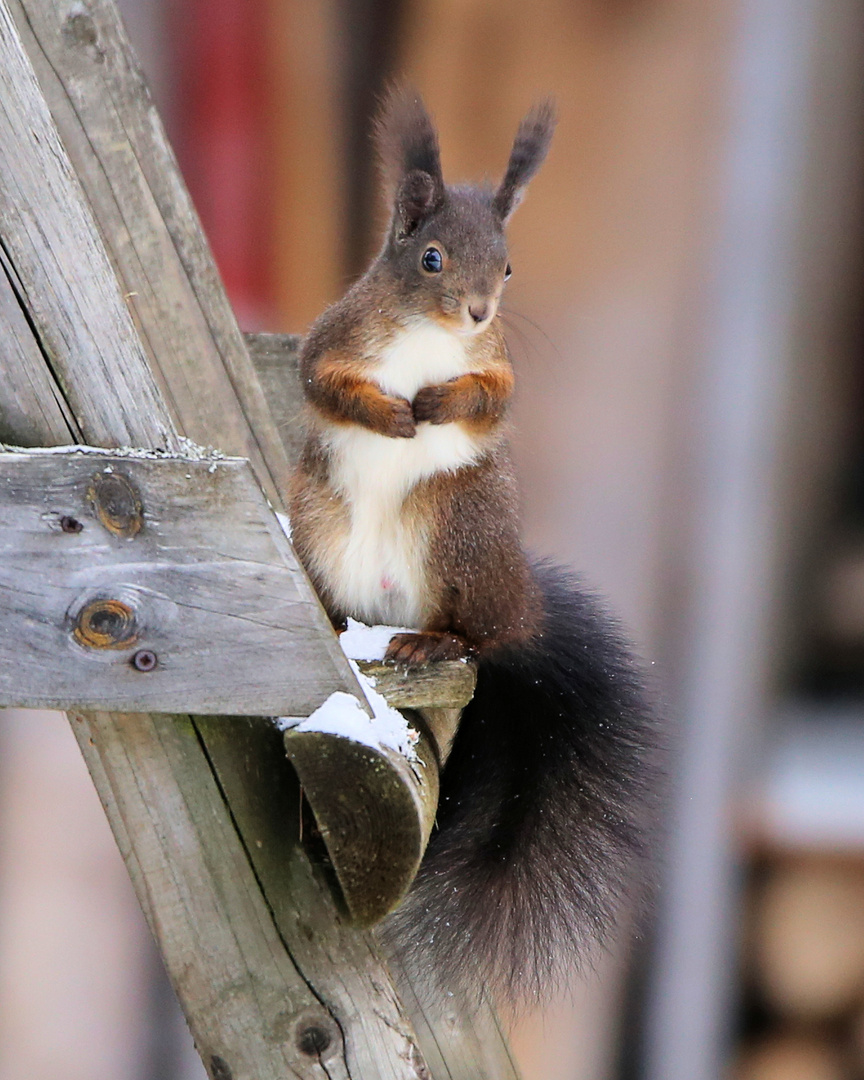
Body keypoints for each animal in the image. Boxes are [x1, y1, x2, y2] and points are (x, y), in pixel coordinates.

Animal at [287, 88, 656, 1006]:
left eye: (511, 268)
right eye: (430, 258)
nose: (481, 311)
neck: (427, 339)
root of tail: (519, 607)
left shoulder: (497, 369)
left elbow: (490, 397)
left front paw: (437, 404)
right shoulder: (334, 338)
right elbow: (322, 378)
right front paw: (387, 412)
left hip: (459, 524)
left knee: (476, 636)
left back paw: (434, 639)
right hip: (322, 517)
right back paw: (344, 622)